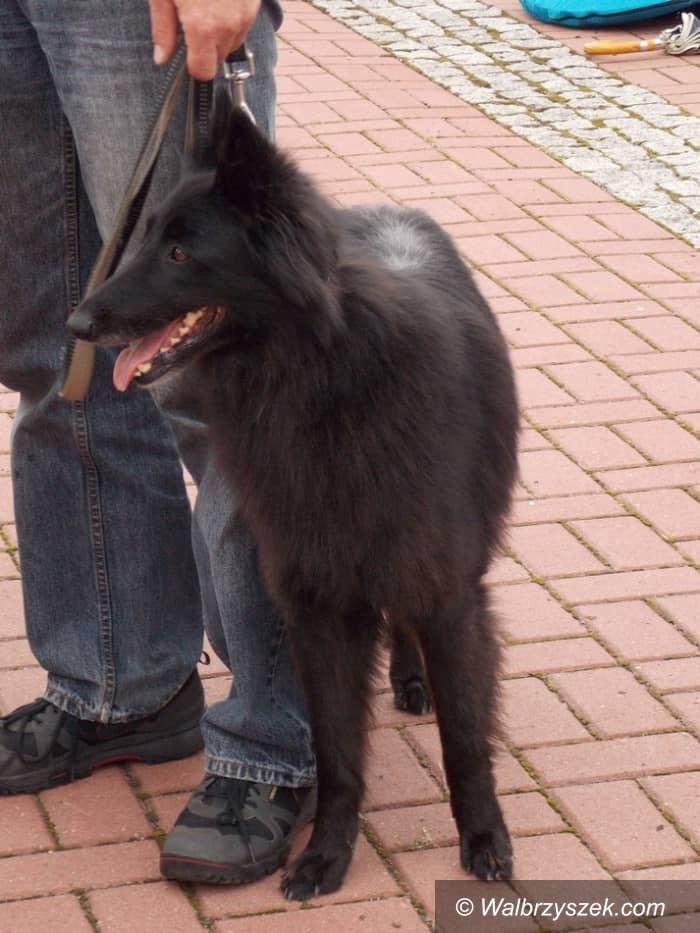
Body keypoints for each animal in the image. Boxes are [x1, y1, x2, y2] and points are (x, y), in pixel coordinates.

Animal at [68, 96, 519, 899]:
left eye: (180, 253)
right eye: (146, 237)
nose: (77, 324)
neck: (321, 381)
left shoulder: (447, 591)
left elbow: (466, 739)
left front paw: (484, 839)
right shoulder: (317, 604)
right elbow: (337, 754)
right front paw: (327, 852)